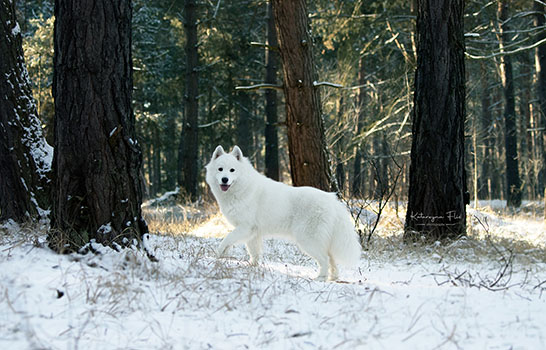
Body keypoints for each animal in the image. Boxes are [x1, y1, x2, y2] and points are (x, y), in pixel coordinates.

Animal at [202, 146, 360, 282]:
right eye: (220, 169)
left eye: (232, 170)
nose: (224, 179)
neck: (242, 188)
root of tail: (332, 200)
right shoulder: (252, 233)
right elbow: (253, 251)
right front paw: (252, 266)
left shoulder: (245, 227)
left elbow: (227, 238)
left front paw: (218, 254)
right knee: (331, 259)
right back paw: (333, 277)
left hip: (308, 240)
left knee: (325, 259)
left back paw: (320, 278)